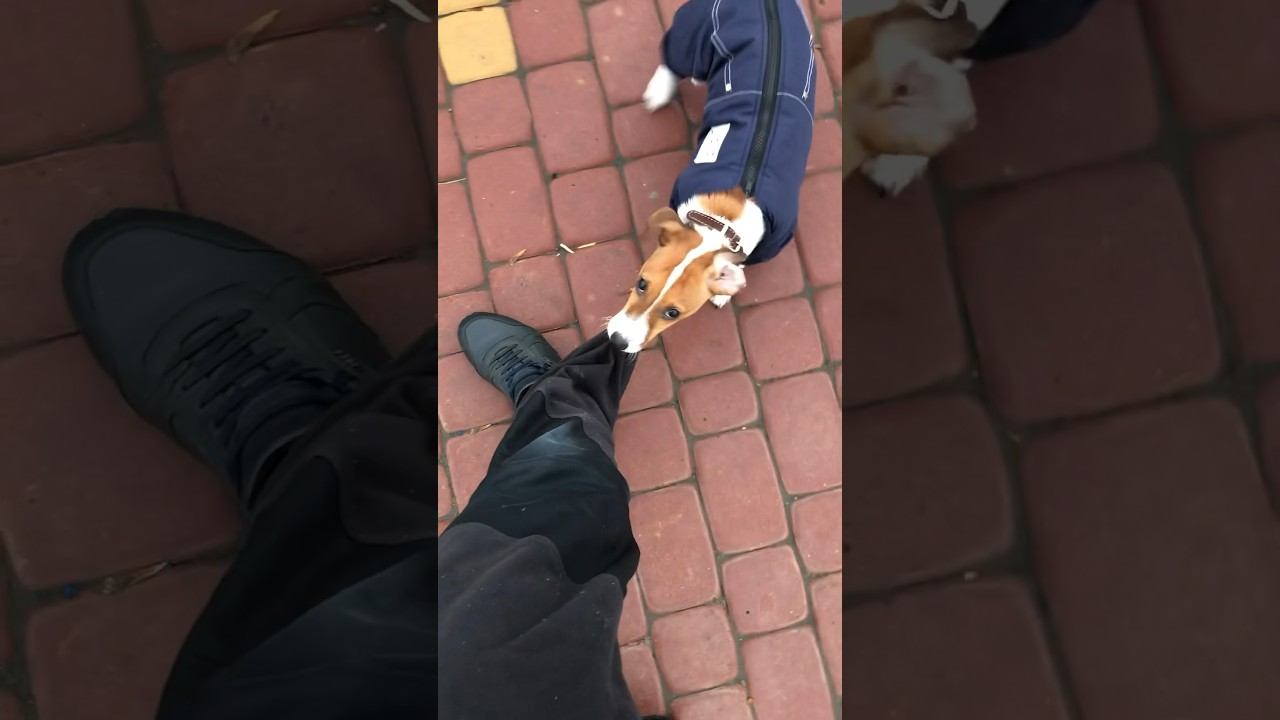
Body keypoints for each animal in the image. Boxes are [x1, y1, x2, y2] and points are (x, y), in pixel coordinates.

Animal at [606, 0, 817, 353]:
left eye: (673, 313)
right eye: (641, 283)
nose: (617, 341)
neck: (724, 221)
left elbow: (740, 264)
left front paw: (723, 289)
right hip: (695, 33)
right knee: (673, 58)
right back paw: (660, 89)